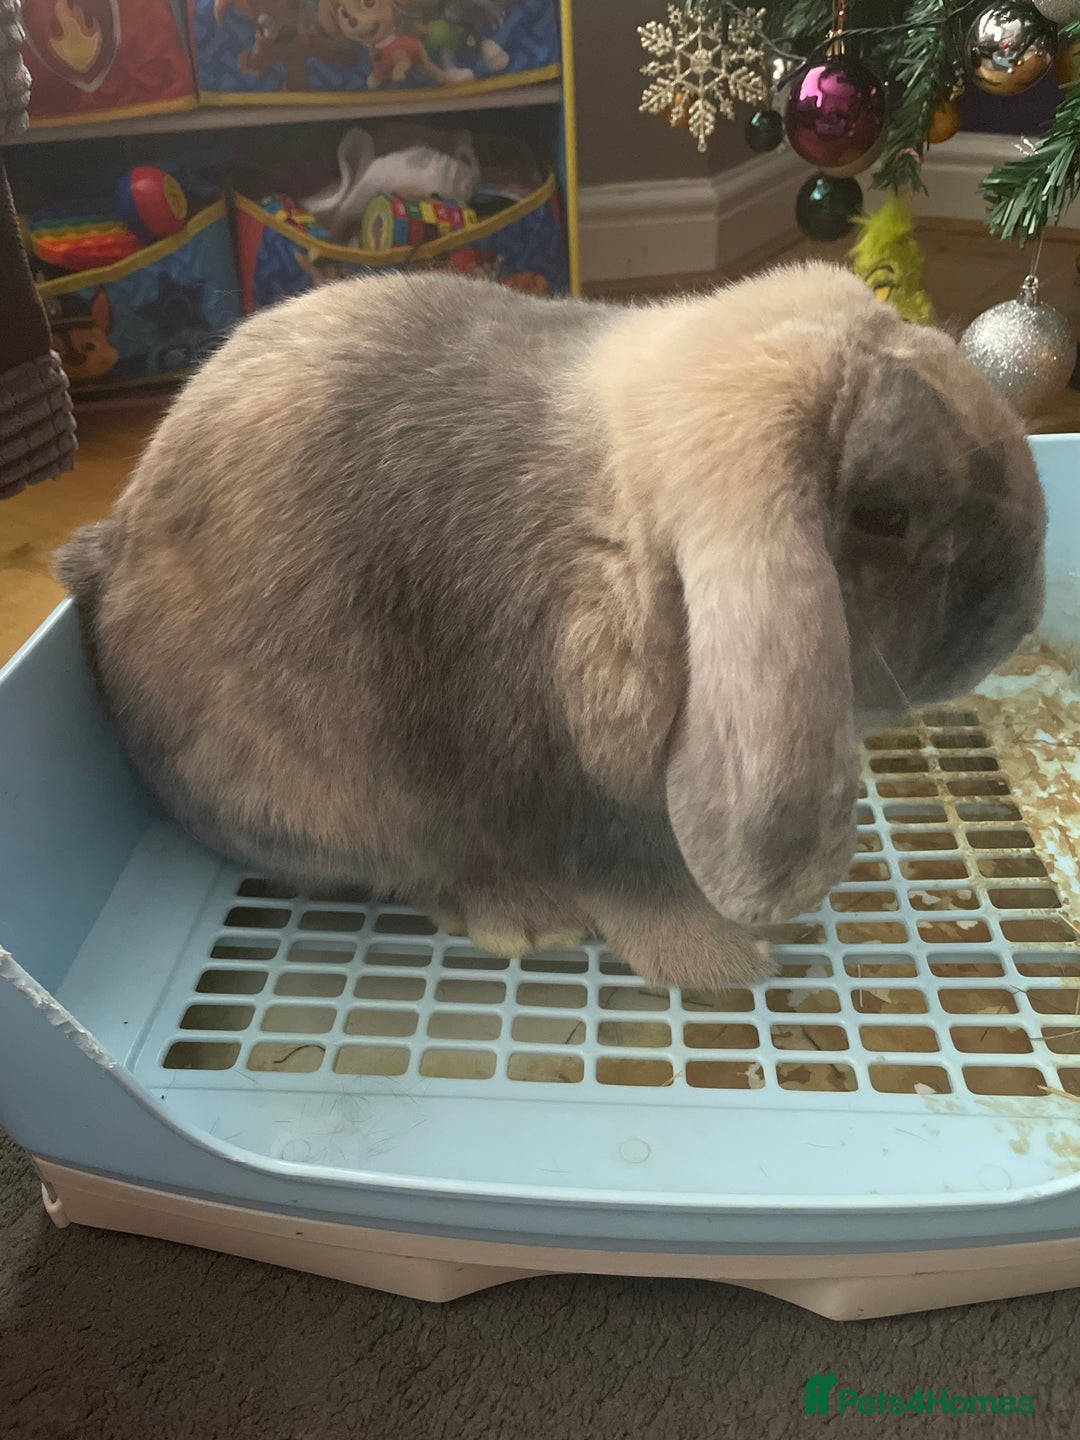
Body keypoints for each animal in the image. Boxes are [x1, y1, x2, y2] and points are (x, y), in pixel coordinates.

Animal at [55, 262, 1046, 989]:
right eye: (884, 515)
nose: (1020, 613)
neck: (623, 547)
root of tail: (104, 560)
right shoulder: (577, 786)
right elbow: (640, 883)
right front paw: (728, 965)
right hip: (331, 800)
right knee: (410, 863)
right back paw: (523, 918)